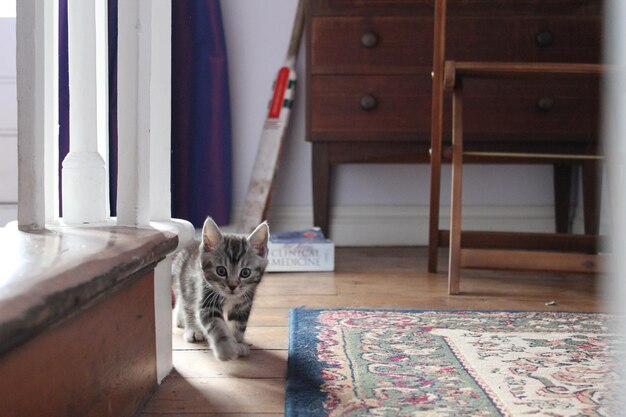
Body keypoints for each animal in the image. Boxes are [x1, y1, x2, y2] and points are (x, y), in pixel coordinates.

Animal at [171, 216, 268, 360]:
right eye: (221, 271)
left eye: (245, 273)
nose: (232, 286)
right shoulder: (206, 296)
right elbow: (217, 325)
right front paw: (226, 350)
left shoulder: (243, 303)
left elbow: (238, 324)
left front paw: (237, 342)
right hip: (186, 282)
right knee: (187, 304)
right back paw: (192, 329)